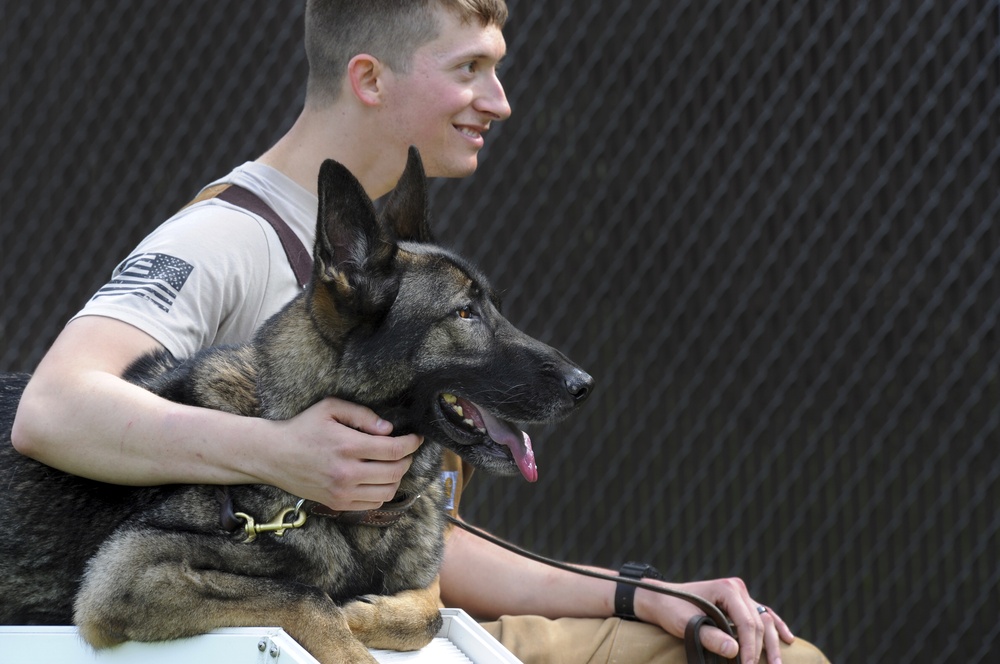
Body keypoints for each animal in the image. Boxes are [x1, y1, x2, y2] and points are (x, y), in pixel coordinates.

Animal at [0, 150, 592, 664]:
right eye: (464, 313)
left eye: (493, 306)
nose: (583, 384)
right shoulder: (131, 575)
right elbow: (304, 597)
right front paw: (348, 628)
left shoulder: (423, 586)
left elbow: (428, 613)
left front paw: (365, 612)